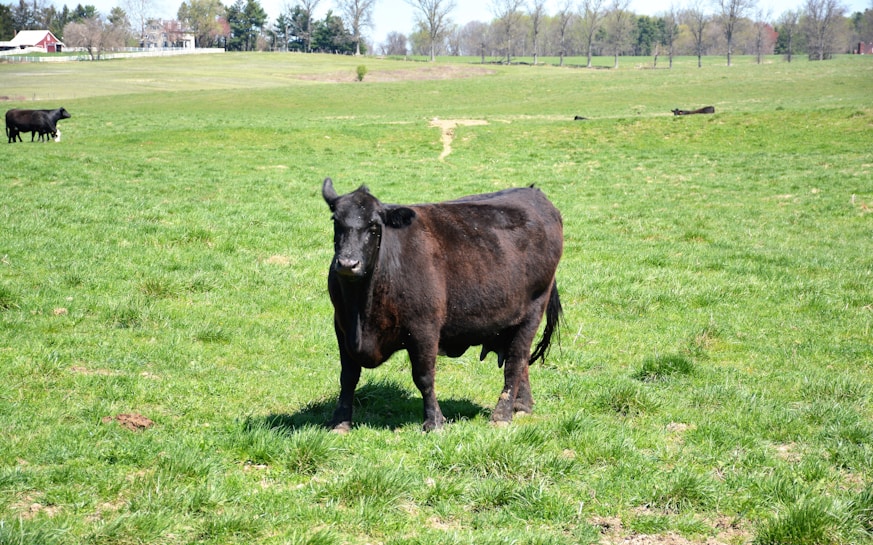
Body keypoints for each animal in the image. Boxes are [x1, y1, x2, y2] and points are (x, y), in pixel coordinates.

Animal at [322, 178, 564, 432]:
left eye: (374, 226)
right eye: (336, 221)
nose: (348, 263)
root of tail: (533, 192)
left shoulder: (424, 327)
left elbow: (424, 376)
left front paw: (434, 421)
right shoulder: (342, 326)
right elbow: (348, 375)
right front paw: (340, 421)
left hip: (533, 310)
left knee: (516, 361)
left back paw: (502, 415)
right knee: (519, 359)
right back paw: (522, 405)